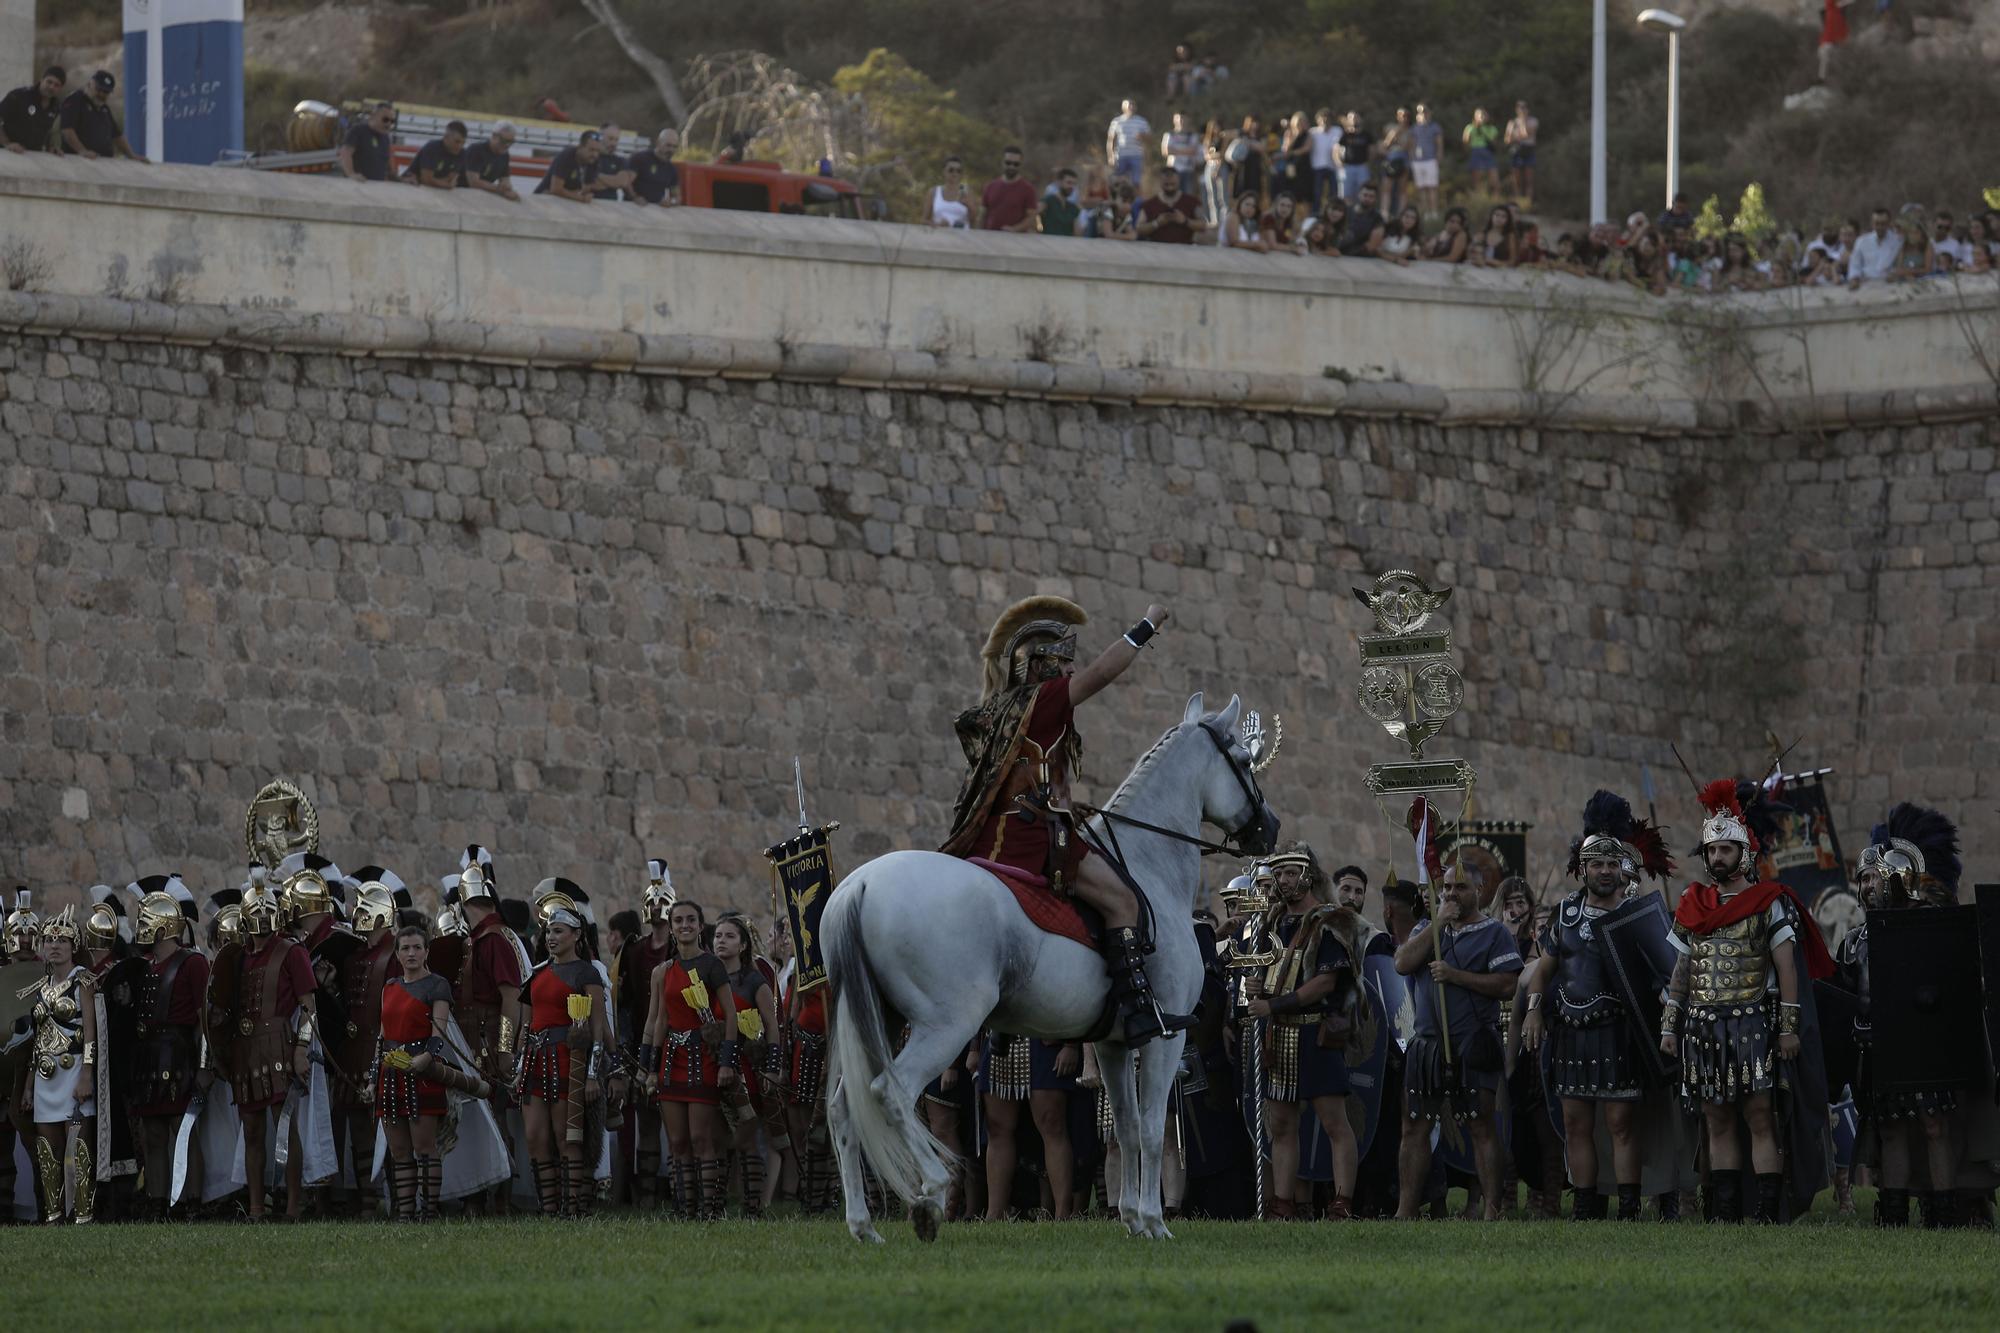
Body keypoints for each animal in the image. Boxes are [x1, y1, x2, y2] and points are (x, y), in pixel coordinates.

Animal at [824, 688, 1280, 1240]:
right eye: (1243, 761)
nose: (1270, 829)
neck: (1146, 865)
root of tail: (862, 884)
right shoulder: (1166, 1035)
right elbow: (1152, 1128)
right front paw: (1153, 1222)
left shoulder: (1112, 1043)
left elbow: (1127, 1128)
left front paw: (1131, 1218)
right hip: (946, 1025)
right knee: (889, 1094)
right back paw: (931, 1192)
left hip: (882, 1021)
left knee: (844, 1108)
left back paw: (862, 1225)